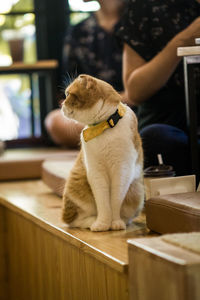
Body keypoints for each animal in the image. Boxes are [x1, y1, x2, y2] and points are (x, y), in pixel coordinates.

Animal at [61, 74, 144, 231]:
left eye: (68, 94)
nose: (61, 104)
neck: (104, 126)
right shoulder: (95, 172)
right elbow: (103, 202)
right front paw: (102, 224)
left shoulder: (122, 170)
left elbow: (116, 200)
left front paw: (116, 222)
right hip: (75, 186)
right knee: (75, 220)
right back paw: (92, 221)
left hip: (136, 191)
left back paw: (123, 221)